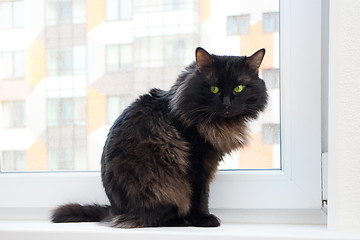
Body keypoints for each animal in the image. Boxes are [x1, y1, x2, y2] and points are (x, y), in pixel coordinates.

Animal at [52, 47, 268, 228]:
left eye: (239, 88)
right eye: (214, 88)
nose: (226, 104)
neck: (219, 123)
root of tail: (114, 210)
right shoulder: (196, 163)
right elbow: (200, 195)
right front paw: (203, 219)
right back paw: (182, 220)